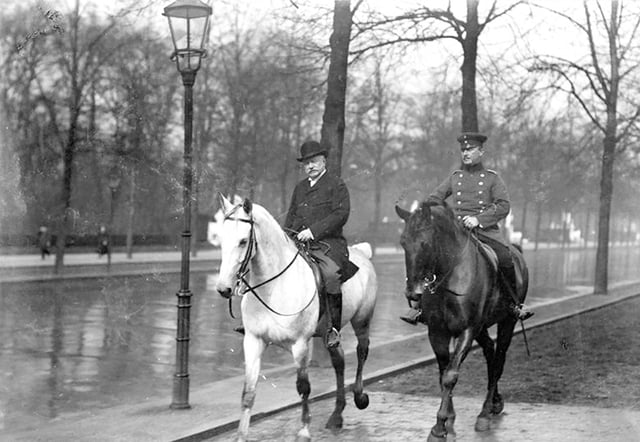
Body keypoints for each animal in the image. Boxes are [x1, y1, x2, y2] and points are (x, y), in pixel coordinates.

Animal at [216, 195, 376, 442]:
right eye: (221, 240)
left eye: (243, 241)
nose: (223, 289)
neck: (273, 286)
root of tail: (362, 253)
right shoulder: (253, 341)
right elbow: (248, 392)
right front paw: (241, 435)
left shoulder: (300, 344)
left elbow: (303, 387)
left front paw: (303, 430)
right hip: (328, 332)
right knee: (339, 362)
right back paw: (336, 415)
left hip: (362, 321)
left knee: (361, 352)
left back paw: (359, 396)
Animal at [396, 201, 528, 442]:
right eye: (403, 242)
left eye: (425, 242)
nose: (412, 293)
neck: (449, 274)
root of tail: (516, 251)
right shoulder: (437, 332)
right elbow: (443, 373)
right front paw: (449, 422)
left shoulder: (467, 330)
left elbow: (450, 376)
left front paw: (439, 427)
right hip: (482, 328)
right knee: (490, 352)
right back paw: (495, 402)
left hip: (506, 323)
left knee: (498, 361)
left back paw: (485, 412)